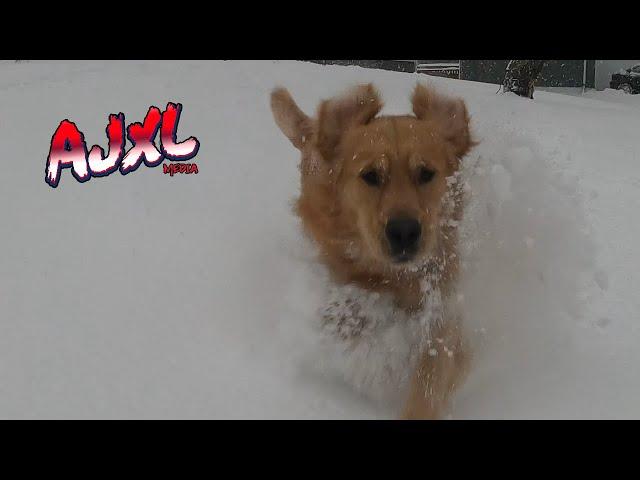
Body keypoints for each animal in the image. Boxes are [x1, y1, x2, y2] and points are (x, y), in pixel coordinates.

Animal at [270, 83, 476, 420]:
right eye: (370, 176)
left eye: (425, 173)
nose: (404, 231)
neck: (394, 278)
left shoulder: (442, 308)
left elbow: (432, 373)